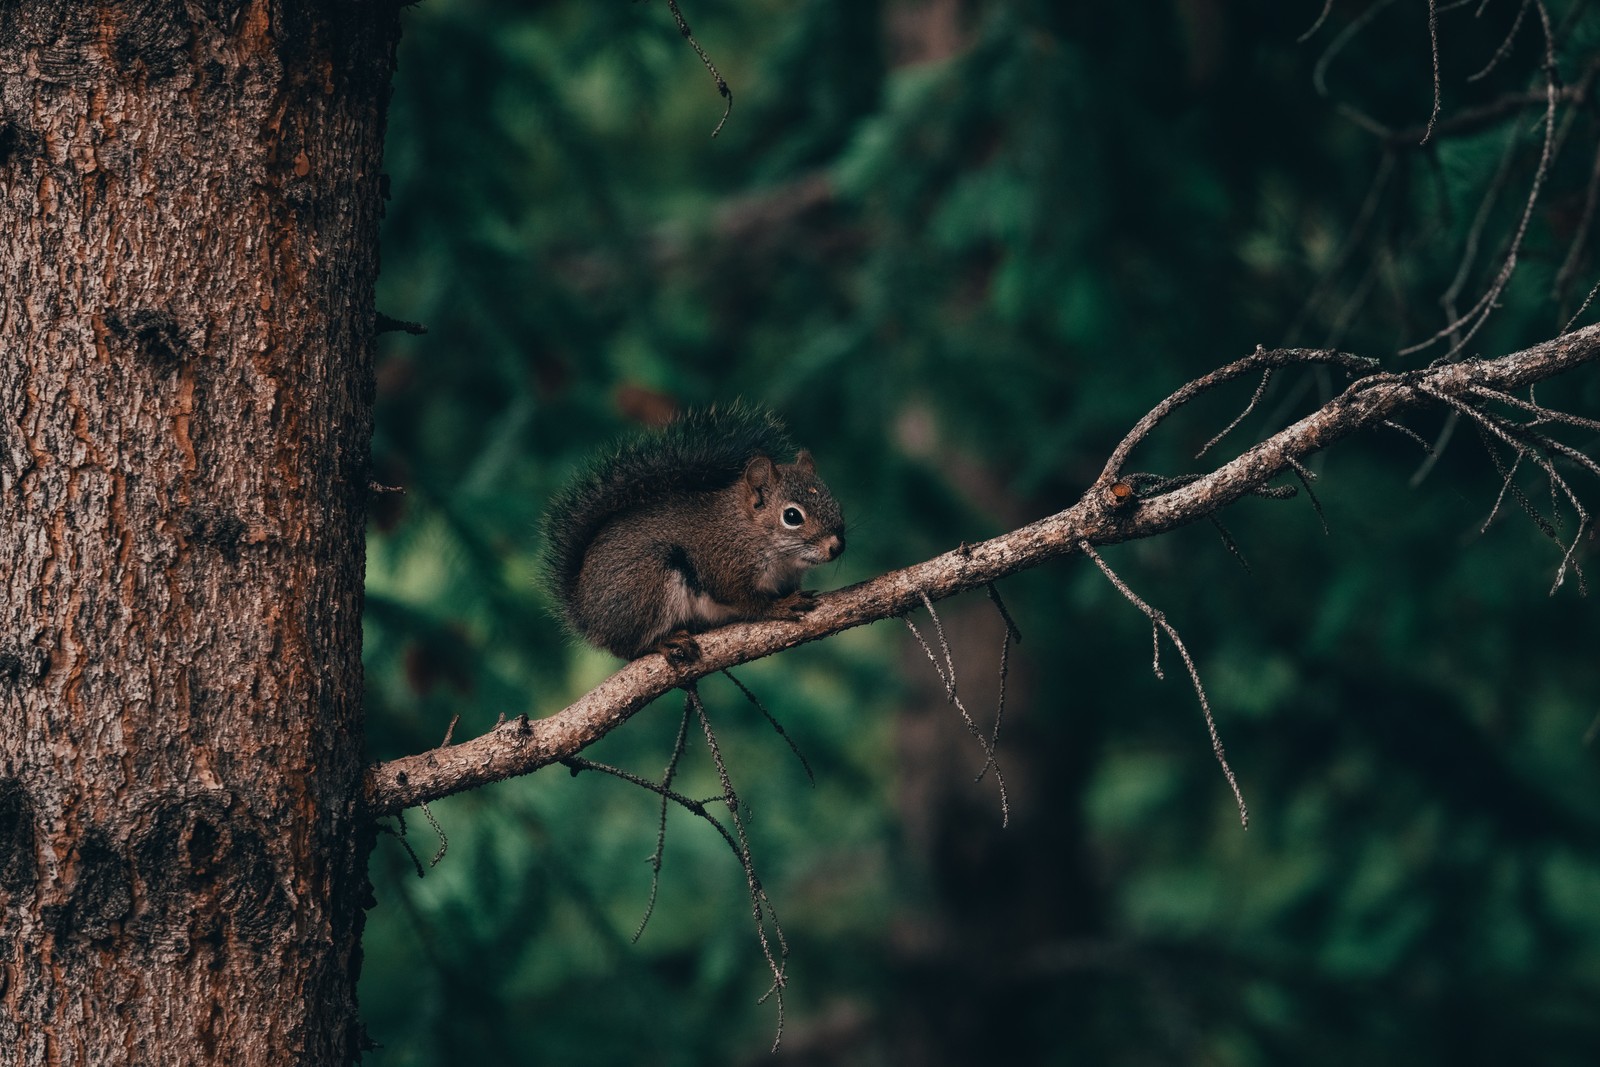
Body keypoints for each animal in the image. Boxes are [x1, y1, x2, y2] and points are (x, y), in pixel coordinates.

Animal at [540, 406, 851, 662]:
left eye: (835, 502)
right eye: (792, 516)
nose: (836, 546)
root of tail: (588, 616)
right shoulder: (724, 566)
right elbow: (748, 601)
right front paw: (780, 606)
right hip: (647, 585)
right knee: (628, 648)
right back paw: (664, 642)